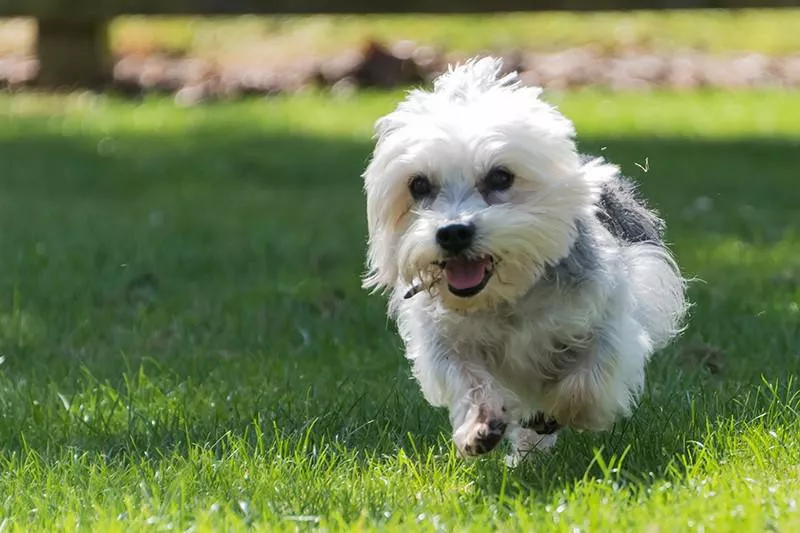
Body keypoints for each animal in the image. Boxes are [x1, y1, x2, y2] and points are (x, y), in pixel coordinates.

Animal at [362, 58, 688, 464]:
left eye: (501, 176)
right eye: (418, 185)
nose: (453, 233)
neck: (508, 297)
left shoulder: (609, 318)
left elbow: (586, 380)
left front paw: (557, 411)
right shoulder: (443, 341)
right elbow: (468, 379)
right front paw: (479, 424)